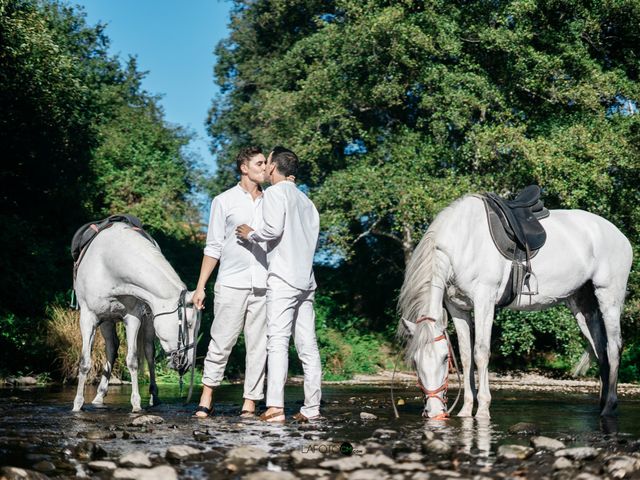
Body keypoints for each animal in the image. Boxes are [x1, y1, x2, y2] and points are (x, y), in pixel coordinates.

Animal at [72, 222, 200, 412]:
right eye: (188, 324)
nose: (188, 363)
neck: (110, 265)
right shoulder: (88, 318)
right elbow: (84, 362)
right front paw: (77, 404)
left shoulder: (133, 318)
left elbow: (132, 360)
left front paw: (137, 404)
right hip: (106, 321)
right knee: (111, 347)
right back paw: (99, 395)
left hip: (148, 322)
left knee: (149, 352)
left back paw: (154, 395)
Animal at [398, 191, 632, 420]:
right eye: (415, 362)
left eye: (445, 359)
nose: (434, 413)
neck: (463, 243)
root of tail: (621, 237)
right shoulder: (458, 308)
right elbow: (466, 357)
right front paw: (465, 411)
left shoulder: (484, 300)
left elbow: (480, 352)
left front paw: (482, 410)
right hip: (582, 305)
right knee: (600, 349)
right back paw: (602, 404)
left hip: (608, 296)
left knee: (613, 347)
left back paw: (609, 407)